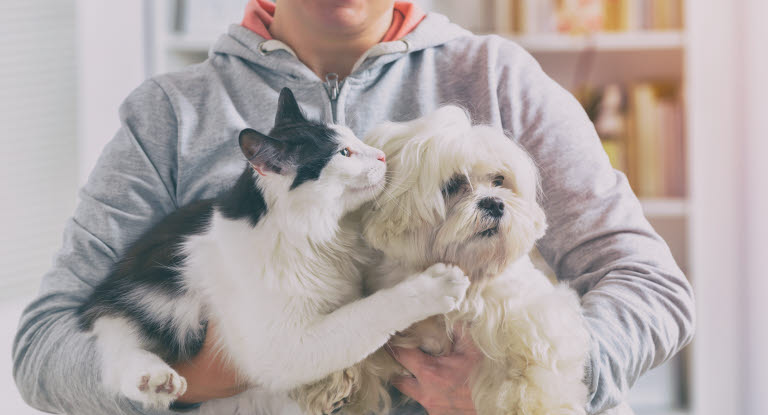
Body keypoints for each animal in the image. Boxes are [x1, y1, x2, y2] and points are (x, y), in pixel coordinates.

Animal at [81, 88, 472, 415]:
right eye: (343, 153)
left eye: (354, 138)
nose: (381, 155)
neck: (312, 237)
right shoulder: (283, 345)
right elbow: (372, 312)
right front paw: (437, 285)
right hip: (135, 309)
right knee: (117, 356)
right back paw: (155, 381)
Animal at [364, 108, 592, 415]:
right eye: (453, 185)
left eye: (499, 180)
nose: (494, 203)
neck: (468, 272)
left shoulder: (533, 315)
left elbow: (534, 368)